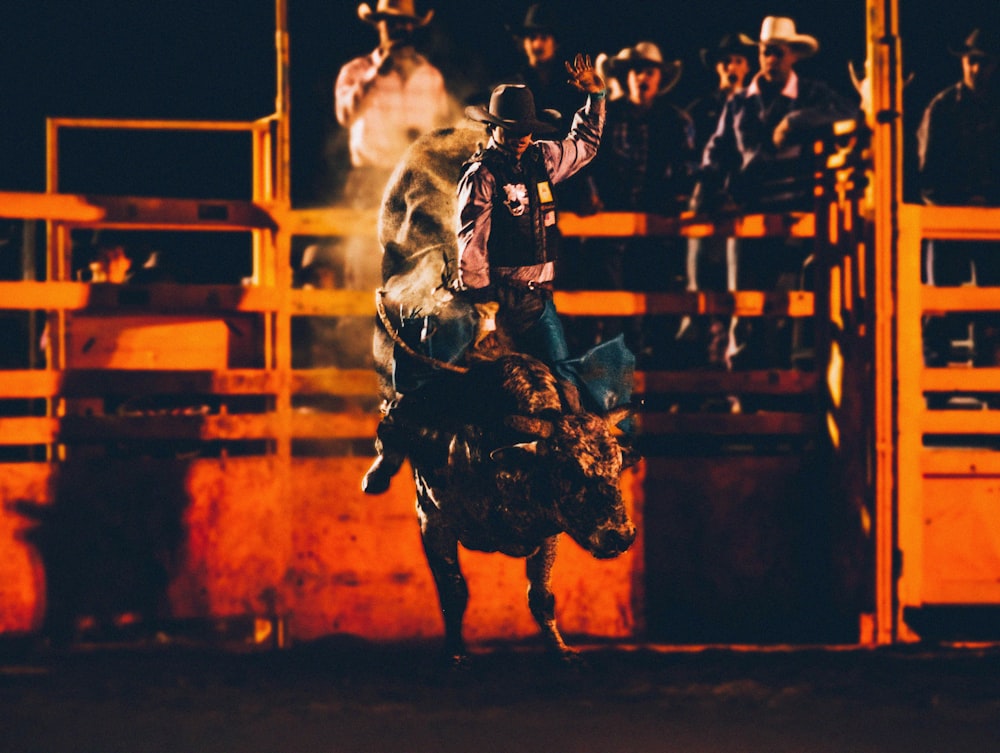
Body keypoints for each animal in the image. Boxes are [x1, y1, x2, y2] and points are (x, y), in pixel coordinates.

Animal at [372, 125, 636, 664]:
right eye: (567, 470)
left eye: (618, 465)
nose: (620, 536)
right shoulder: (431, 518)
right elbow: (453, 591)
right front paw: (456, 653)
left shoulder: (549, 527)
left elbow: (541, 595)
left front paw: (561, 650)